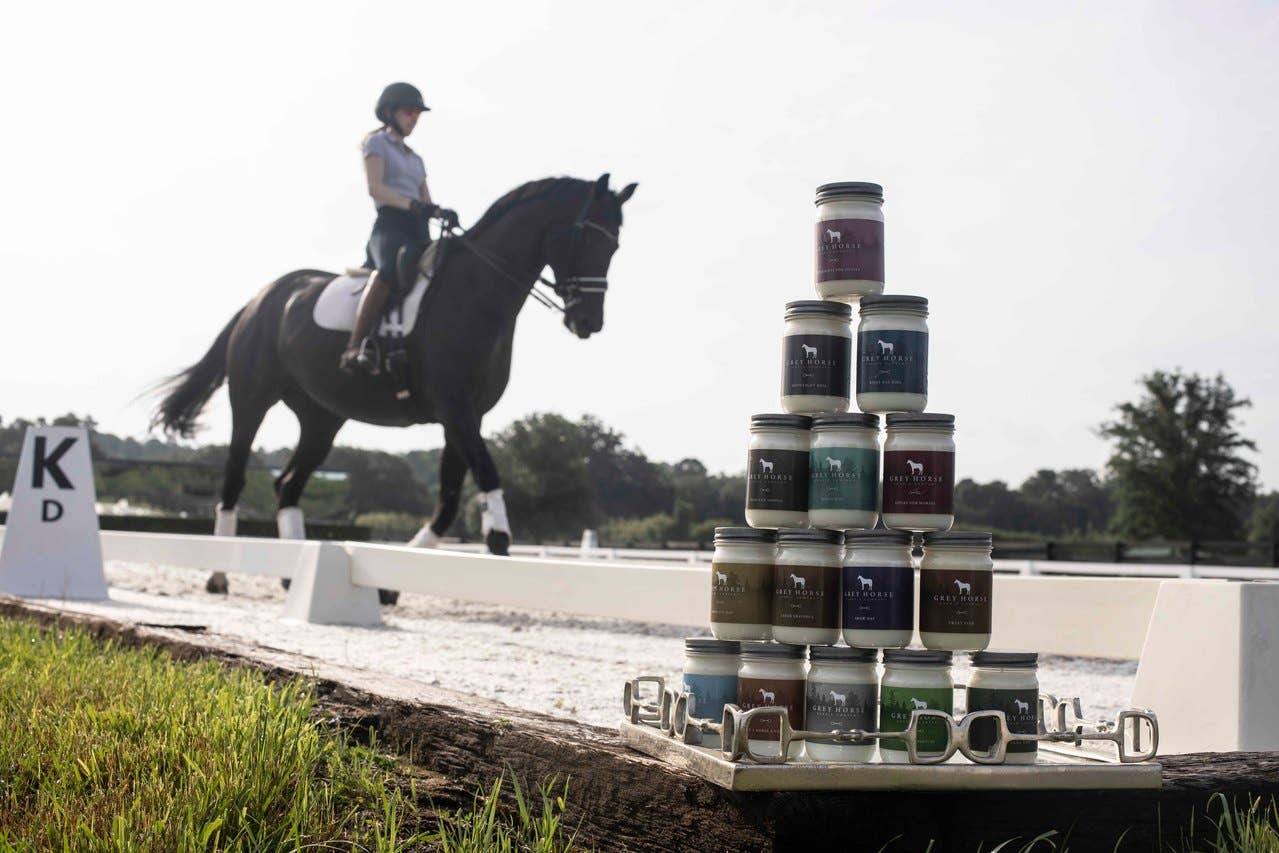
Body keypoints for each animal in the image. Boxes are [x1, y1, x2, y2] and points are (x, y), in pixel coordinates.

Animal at [153, 174, 636, 595]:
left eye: (614, 244)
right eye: (584, 238)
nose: (588, 322)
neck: (473, 296)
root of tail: (262, 298)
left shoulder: (464, 416)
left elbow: (447, 504)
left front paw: (389, 586)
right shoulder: (456, 411)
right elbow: (485, 483)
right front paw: (495, 541)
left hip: (322, 418)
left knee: (287, 484)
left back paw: (291, 573)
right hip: (252, 400)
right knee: (233, 482)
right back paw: (218, 575)